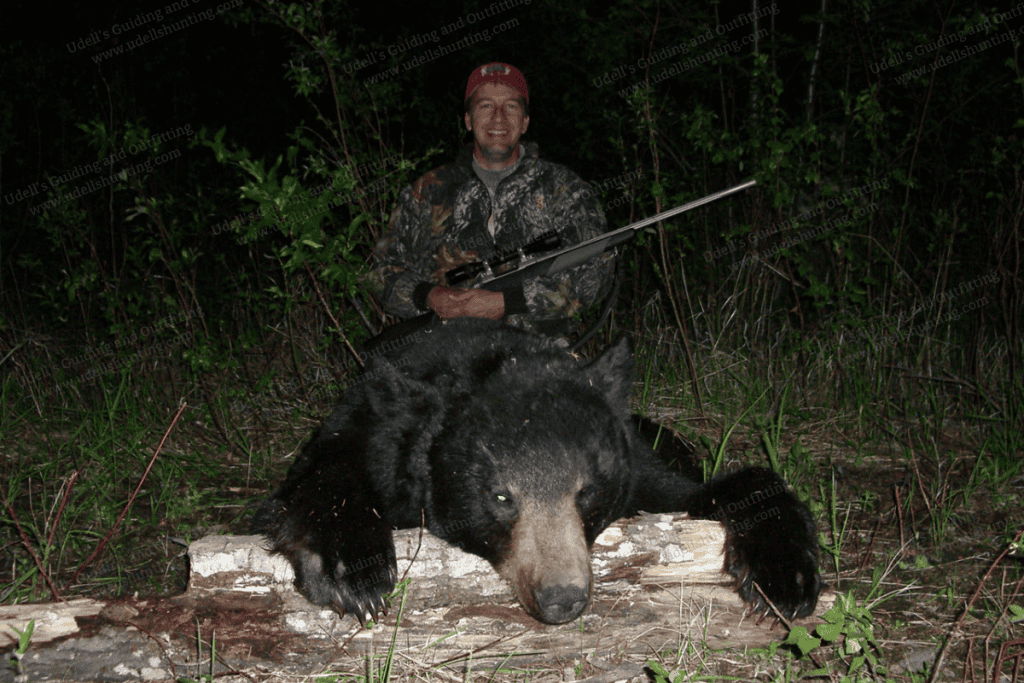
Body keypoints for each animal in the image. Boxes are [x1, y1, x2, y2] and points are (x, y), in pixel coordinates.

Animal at [254, 318, 820, 625]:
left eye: (586, 492)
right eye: (502, 497)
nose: (562, 598)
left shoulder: (640, 470)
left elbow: (708, 490)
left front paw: (784, 575)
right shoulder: (371, 428)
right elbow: (314, 481)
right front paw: (355, 570)